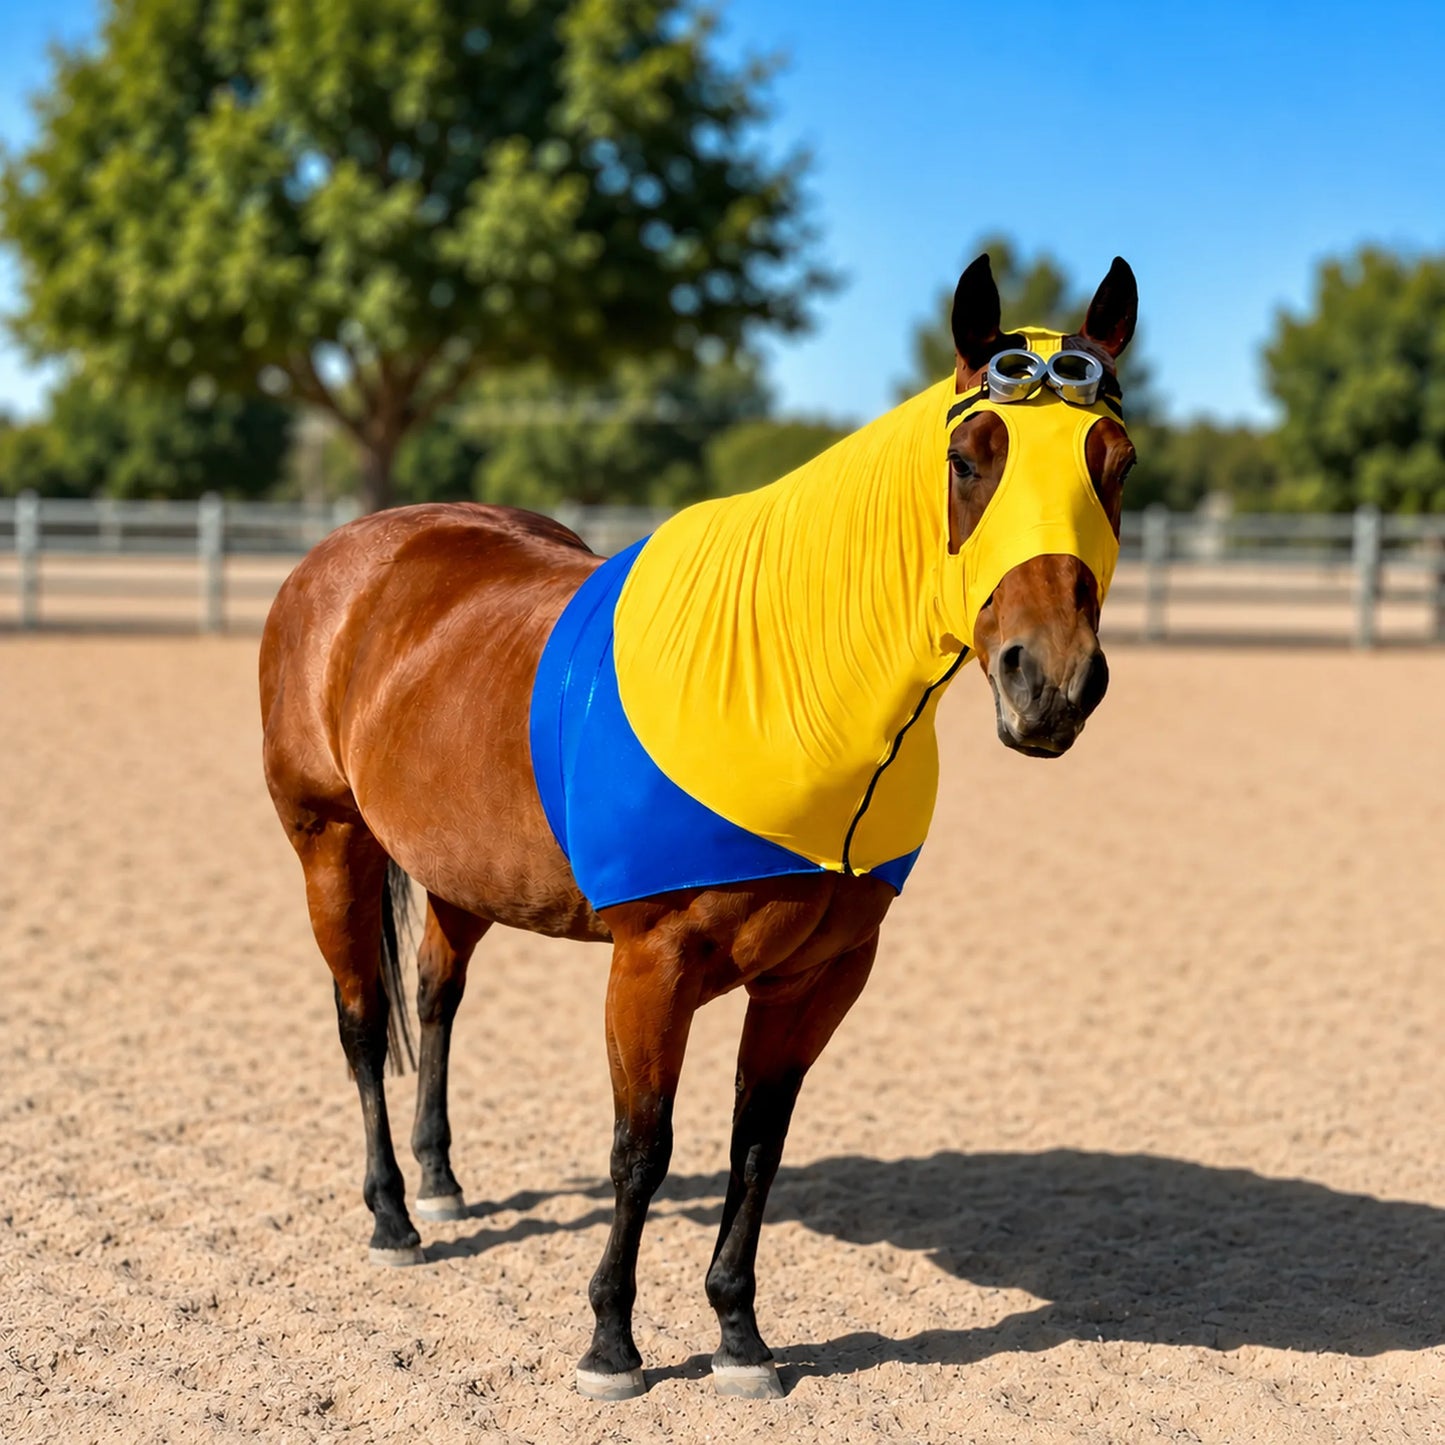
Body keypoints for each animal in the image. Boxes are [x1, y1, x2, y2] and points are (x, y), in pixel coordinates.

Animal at [259, 252, 1139, 1401]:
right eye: (967, 458)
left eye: (1114, 463)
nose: (1053, 684)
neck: (790, 689)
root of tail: (345, 555)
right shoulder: (651, 966)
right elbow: (643, 1145)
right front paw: (610, 1343)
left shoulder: (819, 976)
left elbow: (755, 1144)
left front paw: (739, 1335)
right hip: (329, 841)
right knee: (363, 1020)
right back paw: (394, 1216)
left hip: (456, 869)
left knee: (437, 994)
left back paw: (443, 1182)